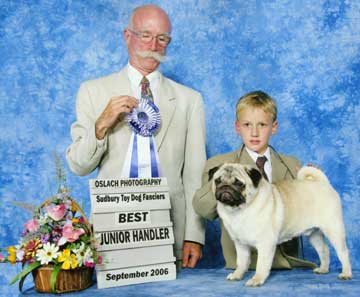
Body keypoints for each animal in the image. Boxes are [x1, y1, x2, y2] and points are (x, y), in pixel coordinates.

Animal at [211, 163, 352, 286]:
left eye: (239, 183)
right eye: (217, 181)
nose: (225, 187)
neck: (239, 211)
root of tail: (323, 183)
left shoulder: (265, 244)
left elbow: (261, 264)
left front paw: (257, 279)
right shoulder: (240, 244)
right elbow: (241, 262)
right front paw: (237, 275)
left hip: (334, 230)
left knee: (343, 252)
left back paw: (346, 273)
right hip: (314, 234)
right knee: (324, 250)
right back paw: (323, 269)